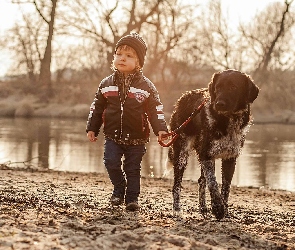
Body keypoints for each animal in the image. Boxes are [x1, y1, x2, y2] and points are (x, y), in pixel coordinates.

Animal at [168, 69, 260, 220]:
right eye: (218, 87)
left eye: (233, 87)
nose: (219, 104)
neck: (228, 119)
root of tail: (183, 97)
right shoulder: (206, 156)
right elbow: (213, 182)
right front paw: (218, 208)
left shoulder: (230, 158)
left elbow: (226, 187)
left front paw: (225, 210)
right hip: (182, 154)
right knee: (177, 184)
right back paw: (177, 209)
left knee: (201, 180)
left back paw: (203, 209)